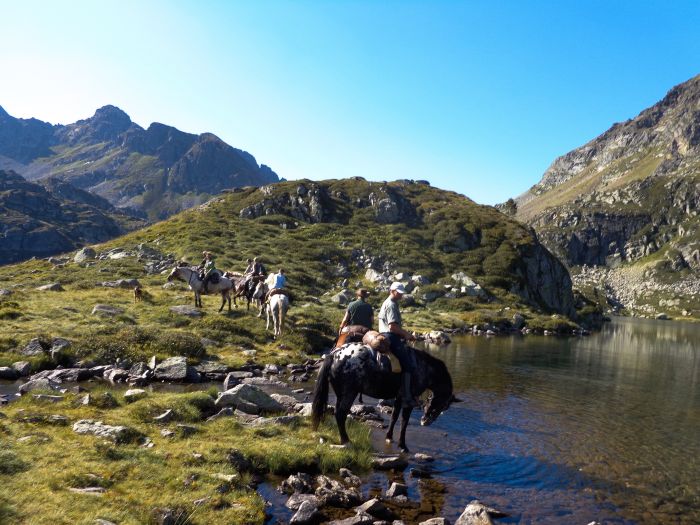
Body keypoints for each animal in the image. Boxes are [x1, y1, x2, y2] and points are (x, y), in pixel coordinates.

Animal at [310, 344, 454, 450]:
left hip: (341, 394)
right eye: (443, 405)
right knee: (340, 414)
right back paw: (346, 441)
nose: (425, 422)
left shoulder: (399, 398)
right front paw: (403, 445)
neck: (423, 367)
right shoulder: (409, 400)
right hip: (349, 393)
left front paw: (389, 437)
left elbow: (394, 417)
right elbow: (404, 421)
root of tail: (334, 355)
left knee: (338, 414)